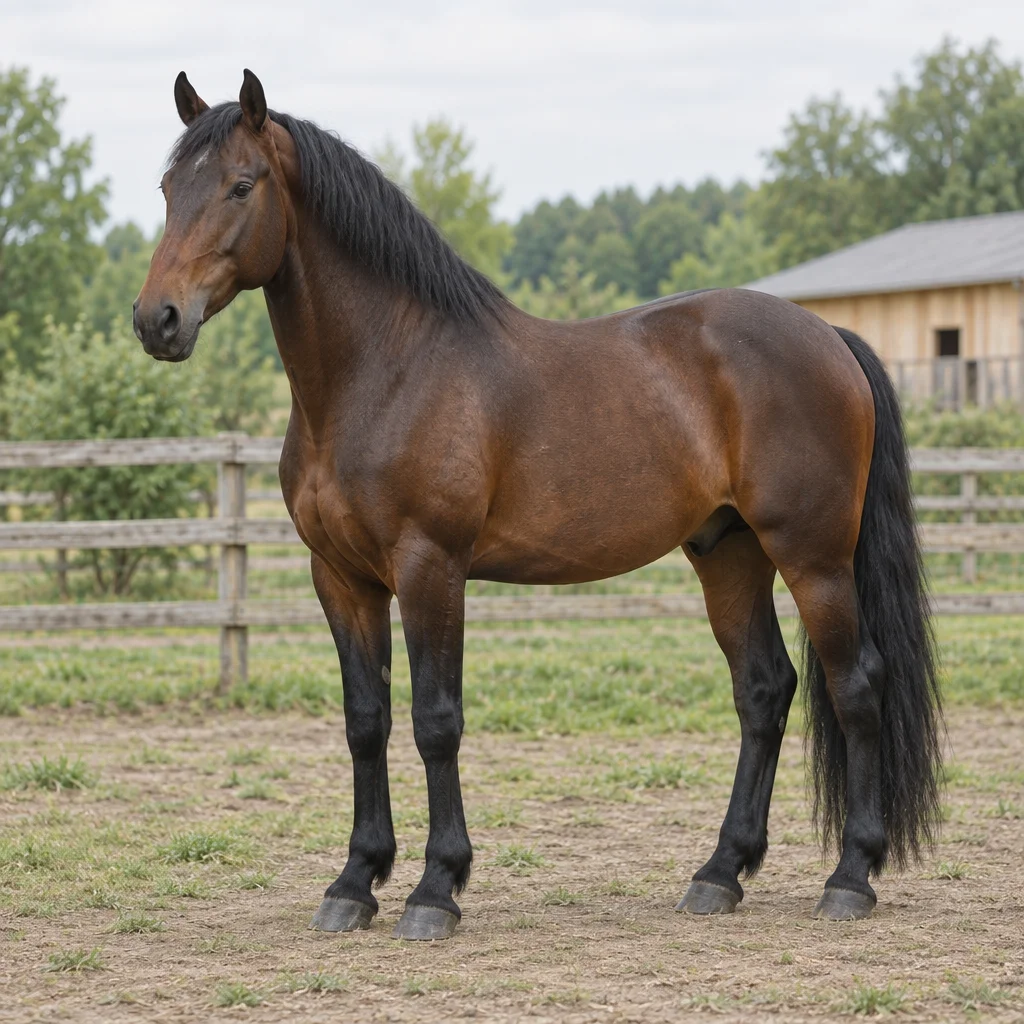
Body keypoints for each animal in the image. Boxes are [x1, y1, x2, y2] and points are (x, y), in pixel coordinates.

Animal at [134, 70, 943, 941]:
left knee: (856, 685)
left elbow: (436, 721)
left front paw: (435, 888)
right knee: (763, 692)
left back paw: (850, 876)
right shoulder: (341, 579)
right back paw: (719, 873)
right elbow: (365, 721)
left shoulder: (430, 568)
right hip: (728, 553)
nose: (157, 320)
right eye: (167, 189)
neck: (387, 372)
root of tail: (829, 336)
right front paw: (354, 882)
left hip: (814, 557)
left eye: (241, 185)